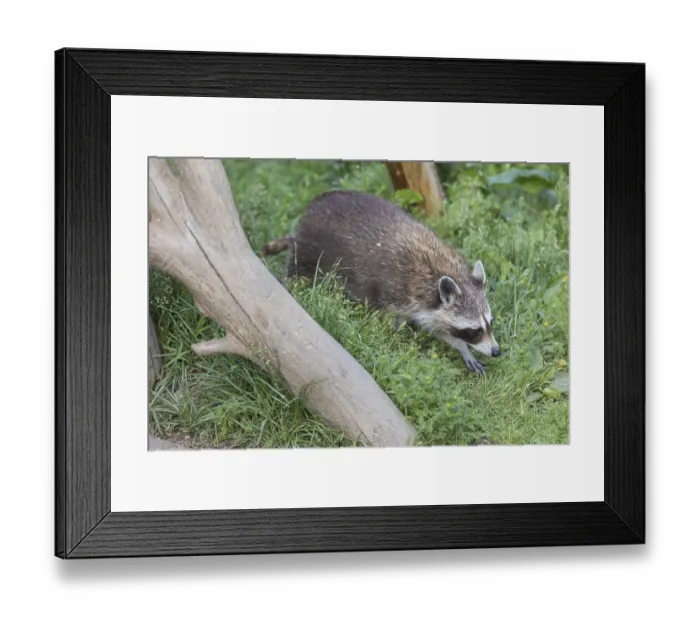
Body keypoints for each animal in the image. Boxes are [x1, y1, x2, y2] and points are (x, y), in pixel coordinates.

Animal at [262, 190, 500, 375]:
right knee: (297, 274)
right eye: (475, 331)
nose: (496, 351)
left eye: (490, 322)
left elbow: (439, 328)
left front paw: (462, 348)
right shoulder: (396, 292)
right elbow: (392, 324)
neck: (447, 272)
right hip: (309, 254)